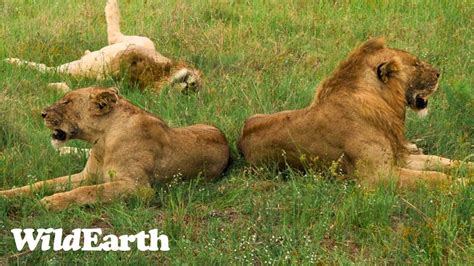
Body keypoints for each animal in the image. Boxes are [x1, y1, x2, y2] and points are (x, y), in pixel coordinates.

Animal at [0, 87, 230, 210]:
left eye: (67, 102)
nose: (42, 114)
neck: (101, 141)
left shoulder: (138, 187)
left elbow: (89, 191)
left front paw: (51, 201)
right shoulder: (86, 175)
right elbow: (42, 183)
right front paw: (7, 194)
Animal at [6, 0, 202, 92]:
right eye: (195, 84)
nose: (190, 85)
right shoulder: (143, 44)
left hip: (79, 67)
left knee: (47, 68)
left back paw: (12, 61)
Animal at [239, 38, 472, 188]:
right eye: (415, 64)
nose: (438, 73)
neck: (384, 103)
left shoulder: (398, 158)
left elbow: (440, 161)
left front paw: (468, 167)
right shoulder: (377, 176)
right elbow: (435, 177)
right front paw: (465, 183)